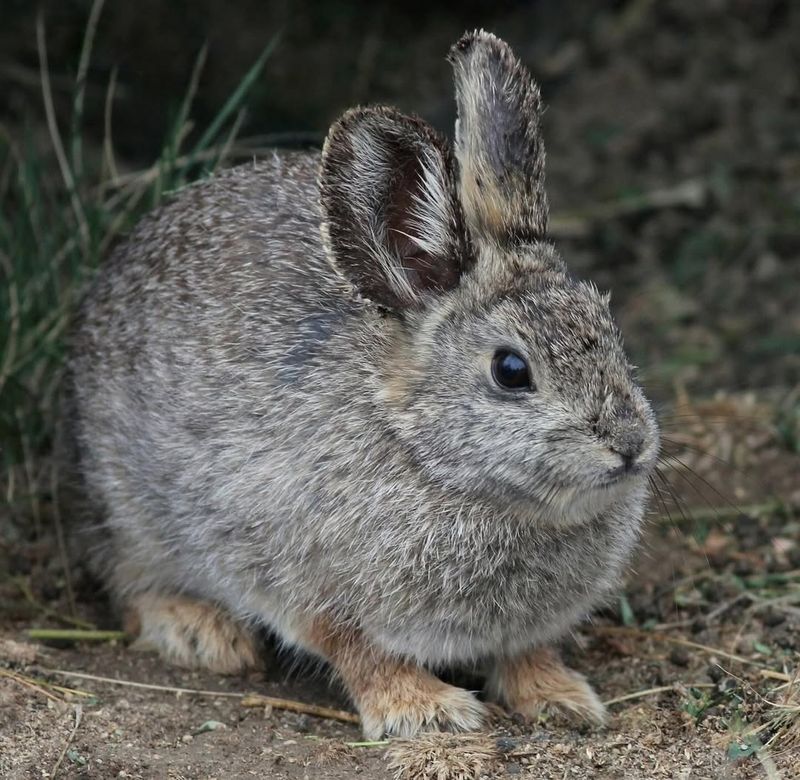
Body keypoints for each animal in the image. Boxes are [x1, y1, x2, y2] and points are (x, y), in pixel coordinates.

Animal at [65, 30, 660, 739]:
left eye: (609, 326)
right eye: (511, 371)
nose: (629, 444)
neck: (428, 459)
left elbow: (525, 651)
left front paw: (561, 698)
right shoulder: (305, 583)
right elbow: (361, 653)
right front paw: (427, 711)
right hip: (128, 508)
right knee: (128, 582)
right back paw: (202, 633)